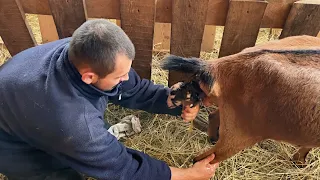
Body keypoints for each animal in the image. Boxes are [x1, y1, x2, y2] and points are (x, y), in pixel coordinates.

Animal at [161, 35, 320, 166]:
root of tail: (219, 66)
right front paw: (300, 161)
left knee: (213, 118)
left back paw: (212, 138)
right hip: (240, 134)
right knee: (204, 158)